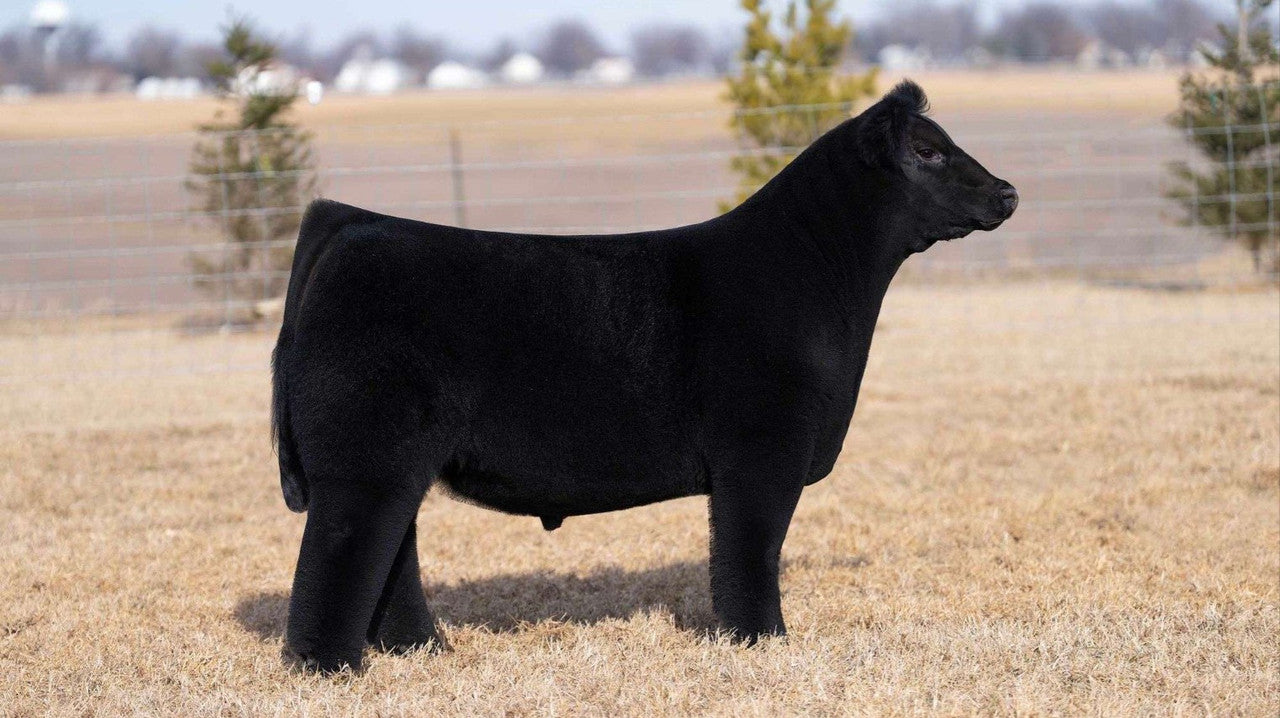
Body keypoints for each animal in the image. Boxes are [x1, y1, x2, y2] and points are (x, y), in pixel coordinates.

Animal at [270, 80, 1018, 673]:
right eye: (927, 152)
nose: (1008, 192)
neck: (814, 274)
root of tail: (352, 224)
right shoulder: (762, 451)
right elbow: (750, 549)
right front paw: (763, 641)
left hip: (396, 462)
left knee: (393, 553)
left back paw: (423, 649)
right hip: (364, 458)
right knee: (340, 553)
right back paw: (330, 668)